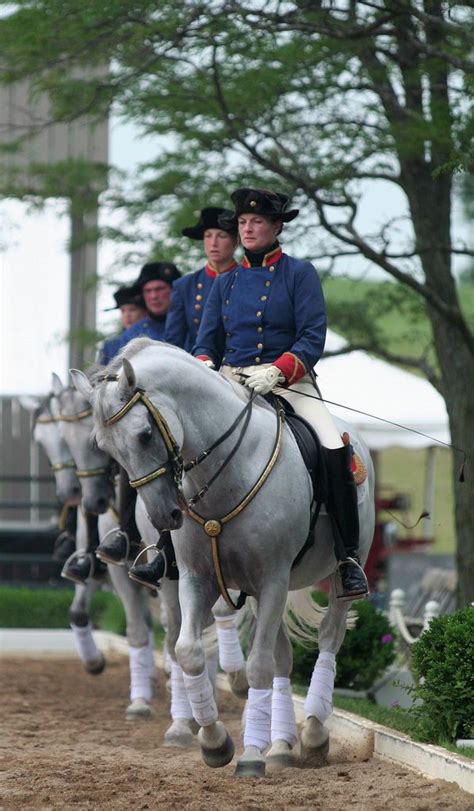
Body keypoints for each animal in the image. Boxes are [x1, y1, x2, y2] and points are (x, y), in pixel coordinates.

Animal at [72, 338, 376, 780]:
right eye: (103, 446)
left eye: (145, 435)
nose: (165, 517)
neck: (228, 469)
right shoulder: (196, 579)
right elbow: (188, 652)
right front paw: (215, 742)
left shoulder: (271, 580)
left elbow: (257, 667)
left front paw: (249, 756)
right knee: (282, 658)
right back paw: (280, 745)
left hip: (335, 576)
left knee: (328, 638)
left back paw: (314, 733)